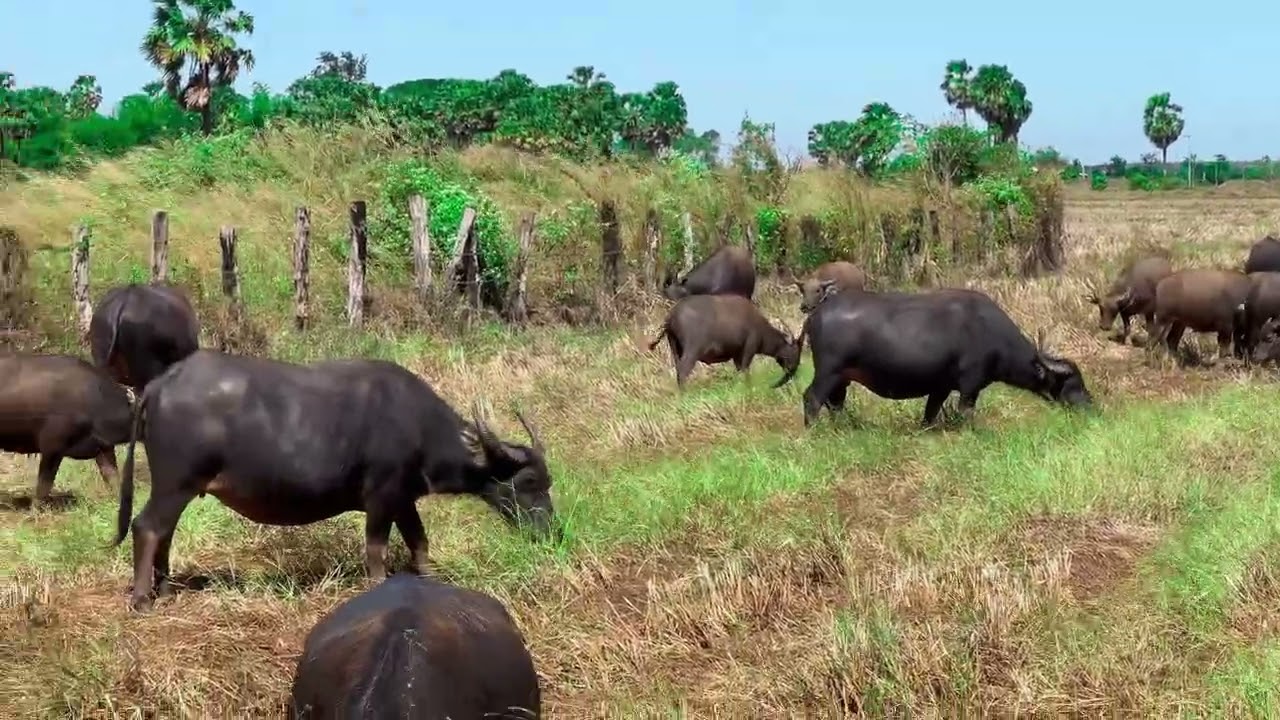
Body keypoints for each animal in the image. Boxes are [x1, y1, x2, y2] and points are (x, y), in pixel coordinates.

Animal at [111, 349, 555, 612]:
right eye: (530, 481)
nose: (551, 530)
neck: (419, 426)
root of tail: (161, 384)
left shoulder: (402, 498)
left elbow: (419, 541)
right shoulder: (381, 497)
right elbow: (376, 550)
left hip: (180, 488)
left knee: (164, 531)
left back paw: (166, 590)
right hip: (175, 483)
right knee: (147, 527)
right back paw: (143, 599)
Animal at [648, 294, 800, 388]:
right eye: (795, 352)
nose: (793, 372)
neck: (762, 330)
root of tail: (671, 316)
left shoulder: (737, 355)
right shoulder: (748, 349)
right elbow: (746, 371)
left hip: (675, 348)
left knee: (678, 370)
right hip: (692, 350)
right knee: (683, 370)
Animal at [776, 288, 1092, 427]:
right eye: (1072, 383)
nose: (1091, 406)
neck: (989, 331)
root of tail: (816, 314)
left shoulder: (940, 388)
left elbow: (929, 415)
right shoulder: (970, 387)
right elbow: (966, 413)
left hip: (842, 379)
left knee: (835, 403)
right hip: (828, 372)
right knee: (812, 399)